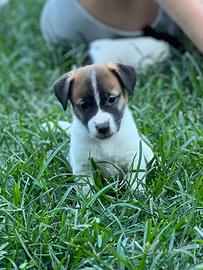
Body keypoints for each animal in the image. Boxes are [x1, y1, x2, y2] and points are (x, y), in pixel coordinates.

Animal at [53, 62, 153, 195]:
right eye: (84, 105)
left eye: (111, 99)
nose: (103, 127)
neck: (106, 142)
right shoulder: (83, 166)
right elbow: (86, 189)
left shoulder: (133, 158)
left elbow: (136, 182)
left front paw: (137, 196)